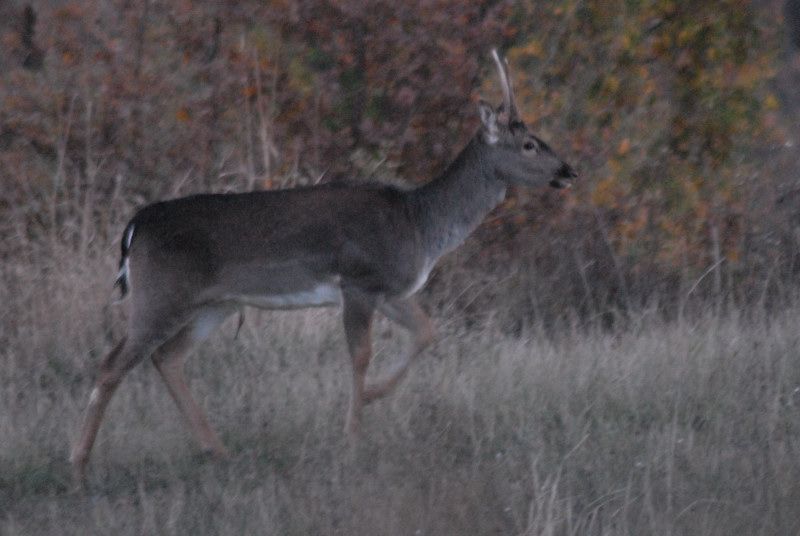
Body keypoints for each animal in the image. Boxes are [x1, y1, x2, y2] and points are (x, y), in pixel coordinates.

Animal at [70, 51, 576, 486]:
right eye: (529, 144)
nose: (569, 171)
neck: (420, 223)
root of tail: (135, 226)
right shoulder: (359, 280)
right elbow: (360, 355)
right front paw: (352, 437)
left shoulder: (392, 289)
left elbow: (427, 332)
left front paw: (372, 397)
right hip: (161, 292)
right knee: (113, 363)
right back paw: (79, 463)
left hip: (213, 303)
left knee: (167, 357)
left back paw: (217, 450)